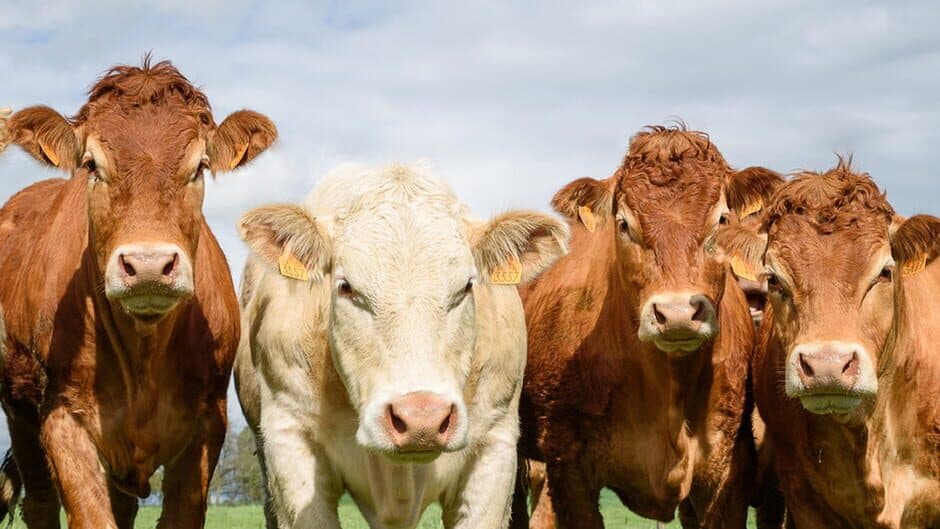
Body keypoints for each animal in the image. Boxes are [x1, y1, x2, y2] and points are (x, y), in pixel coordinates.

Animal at [0, 59, 276, 528]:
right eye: (91, 164)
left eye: (199, 166)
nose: (148, 264)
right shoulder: (61, 417)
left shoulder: (209, 423)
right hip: (19, 410)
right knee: (39, 501)